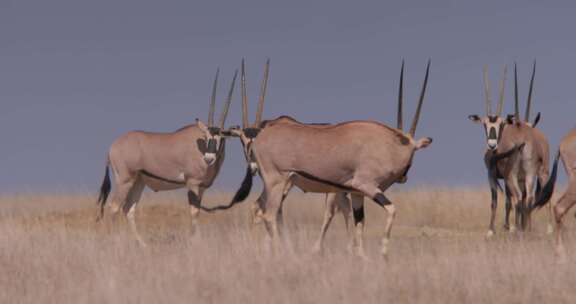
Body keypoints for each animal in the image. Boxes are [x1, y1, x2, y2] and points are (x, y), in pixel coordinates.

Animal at [96, 68, 248, 245]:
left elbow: (197, 211)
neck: (200, 147)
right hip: (125, 180)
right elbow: (194, 212)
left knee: (128, 209)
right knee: (114, 207)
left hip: (138, 182)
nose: (208, 159)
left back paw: (142, 244)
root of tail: (112, 147)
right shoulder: (192, 183)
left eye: (221, 138)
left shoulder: (202, 188)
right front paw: (194, 241)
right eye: (206, 137)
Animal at [230, 60, 432, 258]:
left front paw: (361, 257)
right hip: (278, 183)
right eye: (412, 150)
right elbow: (391, 210)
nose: (404, 177)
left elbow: (359, 223)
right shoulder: (366, 186)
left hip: (275, 184)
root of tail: (259, 138)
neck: (391, 145)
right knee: (270, 215)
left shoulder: (356, 193)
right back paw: (280, 253)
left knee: (261, 209)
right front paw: (382, 253)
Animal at [470, 61, 552, 235]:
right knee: (531, 198)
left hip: (512, 176)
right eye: (484, 124)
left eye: (501, 124)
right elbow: (510, 201)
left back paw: (518, 229)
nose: (492, 144)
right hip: (536, 173)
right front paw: (510, 226)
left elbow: (497, 201)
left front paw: (493, 230)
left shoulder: (492, 175)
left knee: (520, 198)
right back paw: (536, 229)